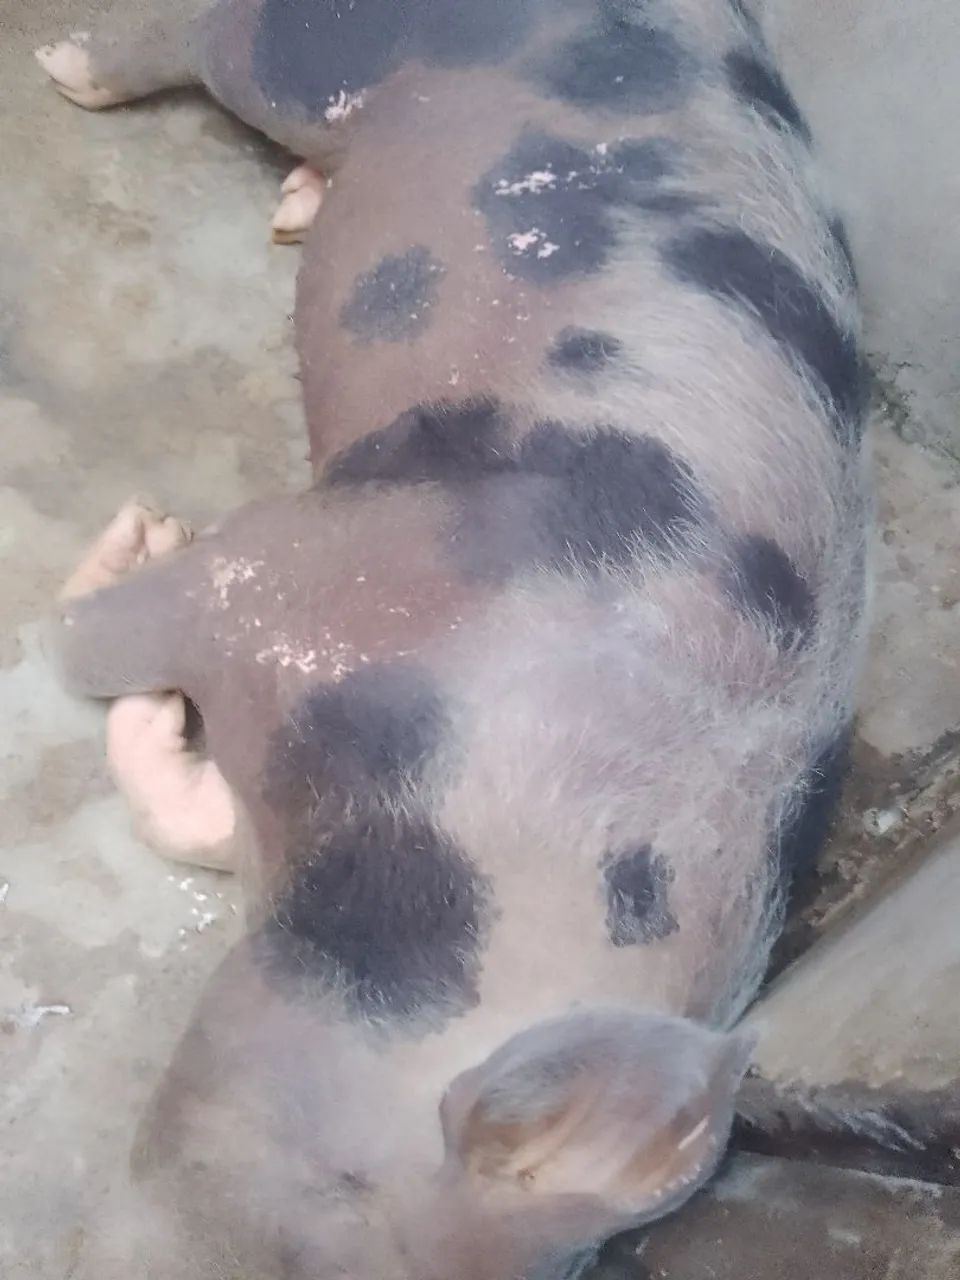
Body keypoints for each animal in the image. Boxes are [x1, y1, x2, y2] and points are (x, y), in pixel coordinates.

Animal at [37, 0, 870, 1276]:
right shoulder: (328, 569)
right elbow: (90, 634)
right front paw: (142, 529)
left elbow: (180, 795)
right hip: (320, 58)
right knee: (218, 43)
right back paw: (65, 67)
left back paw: (294, 203)